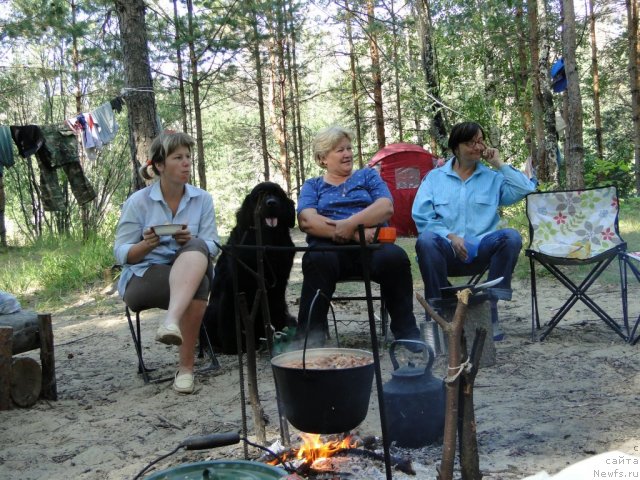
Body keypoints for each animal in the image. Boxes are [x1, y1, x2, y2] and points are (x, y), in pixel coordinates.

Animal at [202, 181, 298, 352]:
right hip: (209, 312)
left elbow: (276, 307)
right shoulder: (235, 285)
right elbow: (232, 315)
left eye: (277, 194)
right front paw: (235, 344)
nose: (271, 203)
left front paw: (278, 333)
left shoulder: (278, 285)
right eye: (259, 195)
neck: (267, 242)